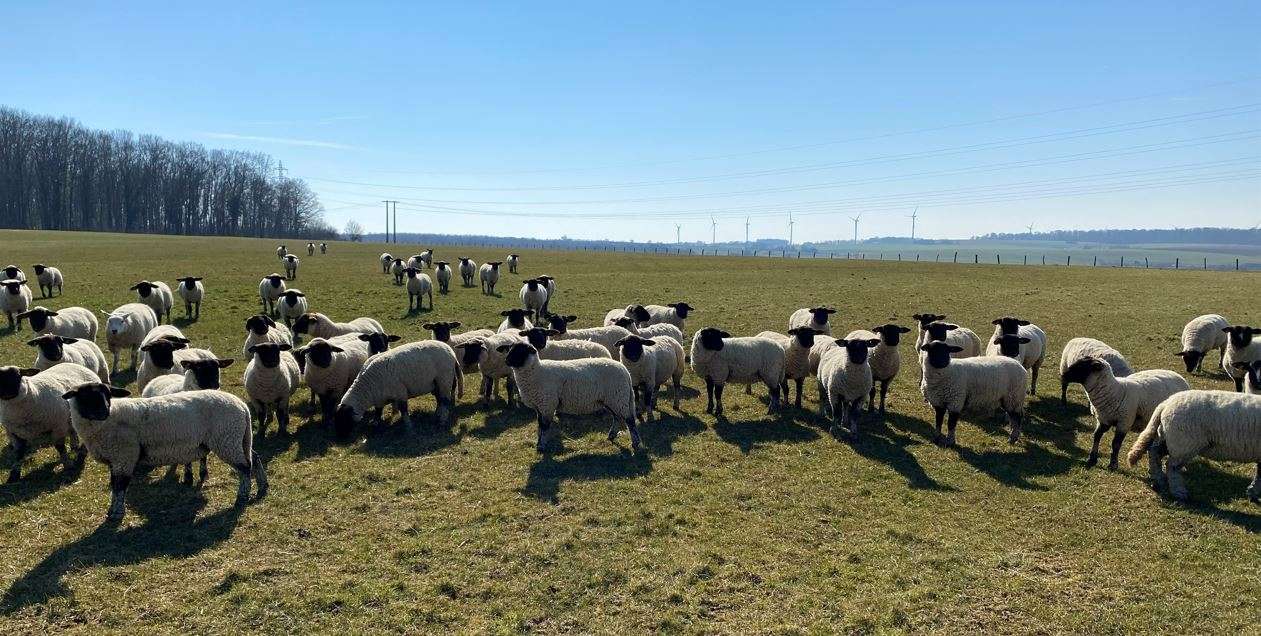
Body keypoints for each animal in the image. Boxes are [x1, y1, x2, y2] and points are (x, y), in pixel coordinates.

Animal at [63, 383, 266, 522]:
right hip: (237, 438)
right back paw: (263, 486)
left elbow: (120, 486)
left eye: (108, 395)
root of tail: (242, 406)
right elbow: (114, 486)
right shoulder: (116, 461)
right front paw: (111, 511)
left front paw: (117, 514)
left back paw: (242, 496)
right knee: (254, 458)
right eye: (86, 397)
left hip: (226, 439)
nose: (104, 411)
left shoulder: (124, 456)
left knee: (244, 467)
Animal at [332, 338, 461, 436]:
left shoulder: (400, 393)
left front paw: (409, 427)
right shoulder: (380, 397)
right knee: (439, 399)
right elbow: (378, 410)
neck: (368, 387)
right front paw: (376, 422)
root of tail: (451, 351)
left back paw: (442, 420)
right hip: (436, 383)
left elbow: (403, 410)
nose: (341, 438)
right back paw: (437, 415)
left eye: (344, 419)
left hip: (444, 379)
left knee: (445, 401)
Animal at [496, 343, 645, 451]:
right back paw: (611, 436)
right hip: (612, 399)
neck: (536, 372)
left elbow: (544, 427)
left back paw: (635, 443)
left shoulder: (547, 404)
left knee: (629, 421)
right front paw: (539, 443)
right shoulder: (540, 406)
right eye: (508, 349)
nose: (507, 360)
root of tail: (625, 371)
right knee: (617, 417)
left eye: (520, 351)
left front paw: (542, 446)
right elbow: (539, 426)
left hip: (618, 397)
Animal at [1124, 391, 1261, 504]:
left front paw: (1253, 493)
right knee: (1171, 466)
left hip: (1170, 438)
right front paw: (1254, 493)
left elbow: (1259, 474)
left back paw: (1158, 479)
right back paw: (1178, 492)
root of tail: (1165, 403)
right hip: (1183, 443)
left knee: (1154, 452)